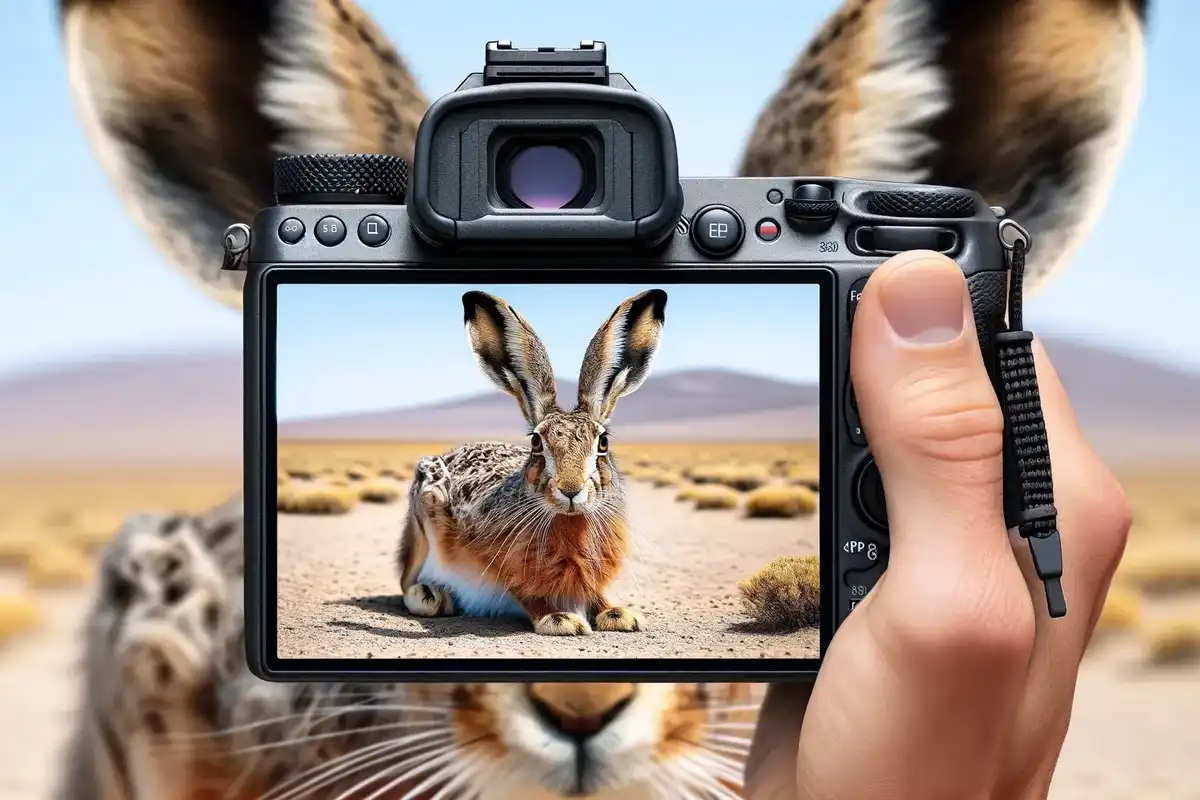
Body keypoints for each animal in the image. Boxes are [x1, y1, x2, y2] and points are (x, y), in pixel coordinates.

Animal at [395, 289, 668, 636]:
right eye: (536, 442)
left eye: (603, 442)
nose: (571, 490)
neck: (569, 522)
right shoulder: (500, 561)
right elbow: (528, 594)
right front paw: (561, 620)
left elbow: (596, 594)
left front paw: (620, 614)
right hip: (424, 514)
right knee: (407, 580)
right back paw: (431, 595)